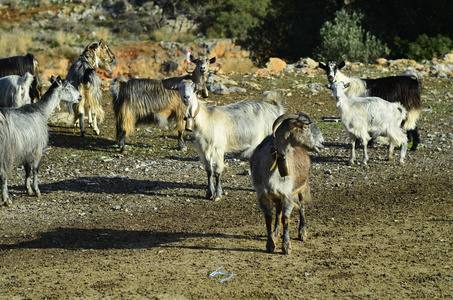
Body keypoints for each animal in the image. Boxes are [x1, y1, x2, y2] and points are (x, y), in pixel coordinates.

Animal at [0, 76, 80, 206]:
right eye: (68, 86)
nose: (80, 97)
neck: (41, 111)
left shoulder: (26, 147)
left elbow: (27, 168)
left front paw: (28, 189)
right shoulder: (38, 147)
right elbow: (35, 168)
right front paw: (36, 190)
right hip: (5, 149)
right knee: (3, 174)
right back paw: (7, 199)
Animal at [249, 113, 324, 254]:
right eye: (306, 126)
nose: (322, 144)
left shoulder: (288, 194)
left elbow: (285, 218)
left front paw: (287, 246)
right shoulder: (262, 196)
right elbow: (269, 218)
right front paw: (270, 244)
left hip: (302, 187)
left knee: (302, 207)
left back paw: (302, 232)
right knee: (278, 209)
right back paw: (276, 232)